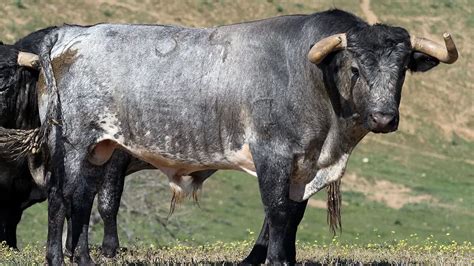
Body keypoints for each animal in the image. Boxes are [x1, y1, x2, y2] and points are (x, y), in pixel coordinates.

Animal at [1, 9, 458, 264]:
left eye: (402, 70)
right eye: (355, 68)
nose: (384, 117)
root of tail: (69, 36)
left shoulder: (304, 166)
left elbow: (293, 217)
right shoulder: (272, 155)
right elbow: (277, 214)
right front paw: (273, 260)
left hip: (100, 149)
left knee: (81, 199)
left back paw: (83, 259)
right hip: (72, 142)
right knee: (61, 196)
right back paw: (56, 258)